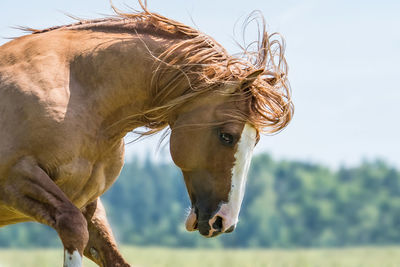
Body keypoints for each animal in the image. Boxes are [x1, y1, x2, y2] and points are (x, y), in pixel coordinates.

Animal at [0, 1, 292, 266]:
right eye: (226, 136)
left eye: (255, 141)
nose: (224, 222)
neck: (77, 91)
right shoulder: (19, 179)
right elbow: (72, 227)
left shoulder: (87, 204)